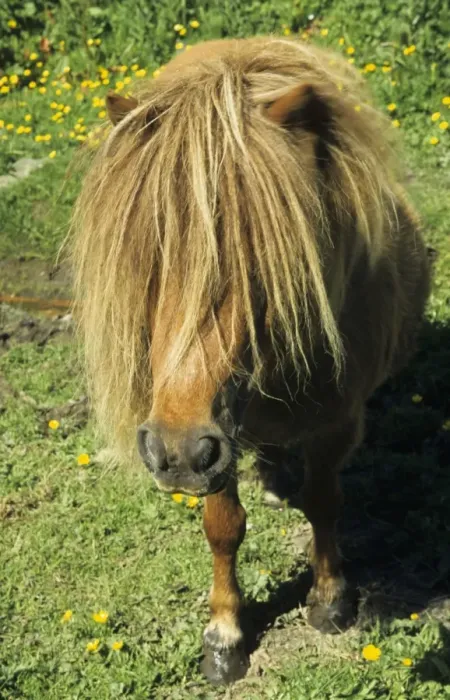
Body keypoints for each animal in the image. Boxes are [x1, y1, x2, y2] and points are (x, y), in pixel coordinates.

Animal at [71, 36, 431, 685]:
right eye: (148, 255)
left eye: (263, 261)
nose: (175, 454)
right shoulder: (214, 436)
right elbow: (223, 528)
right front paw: (225, 635)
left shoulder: (332, 423)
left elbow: (324, 500)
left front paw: (330, 599)